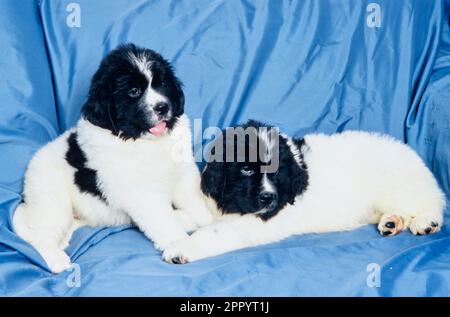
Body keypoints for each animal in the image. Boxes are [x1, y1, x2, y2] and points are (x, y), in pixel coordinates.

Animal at [13, 43, 212, 272]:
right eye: (133, 92)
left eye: (161, 84)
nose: (162, 107)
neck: (142, 141)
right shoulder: (144, 194)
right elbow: (163, 221)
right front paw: (179, 245)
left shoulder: (182, 172)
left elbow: (194, 201)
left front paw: (207, 221)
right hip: (51, 199)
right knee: (41, 234)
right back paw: (56, 260)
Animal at [163, 119, 446, 262]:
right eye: (245, 169)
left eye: (277, 172)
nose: (268, 197)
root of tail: (412, 153)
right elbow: (198, 217)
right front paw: (175, 219)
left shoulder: (256, 222)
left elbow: (216, 232)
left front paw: (181, 248)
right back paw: (391, 222)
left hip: (400, 184)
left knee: (432, 201)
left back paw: (425, 222)